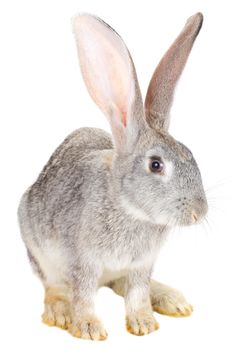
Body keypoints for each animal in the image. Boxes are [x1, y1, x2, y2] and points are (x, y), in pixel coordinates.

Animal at [18, 12, 208, 340]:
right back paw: (59, 312)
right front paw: (89, 329)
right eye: (156, 165)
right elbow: (83, 296)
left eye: (190, 154)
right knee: (54, 287)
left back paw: (171, 299)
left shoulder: (142, 265)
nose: (200, 211)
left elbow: (137, 293)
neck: (129, 208)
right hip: (38, 249)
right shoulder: (83, 261)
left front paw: (144, 323)